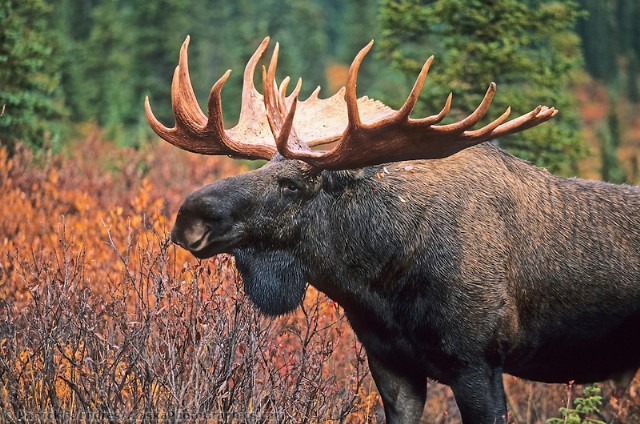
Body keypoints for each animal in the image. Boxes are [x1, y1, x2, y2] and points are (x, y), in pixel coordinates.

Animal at [145, 37, 640, 423]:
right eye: (265, 167)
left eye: (291, 184)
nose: (188, 216)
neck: (378, 282)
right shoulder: (390, 364)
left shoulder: (478, 361)